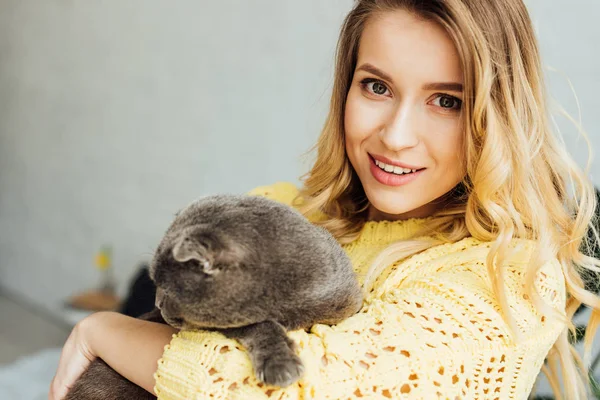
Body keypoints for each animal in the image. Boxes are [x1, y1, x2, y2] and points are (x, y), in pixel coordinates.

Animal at [65, 192, 366, 398]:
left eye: (165, 286)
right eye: (155, 284)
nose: (157, 303)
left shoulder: (346, 300)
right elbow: (260, 326)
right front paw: (280, 365)